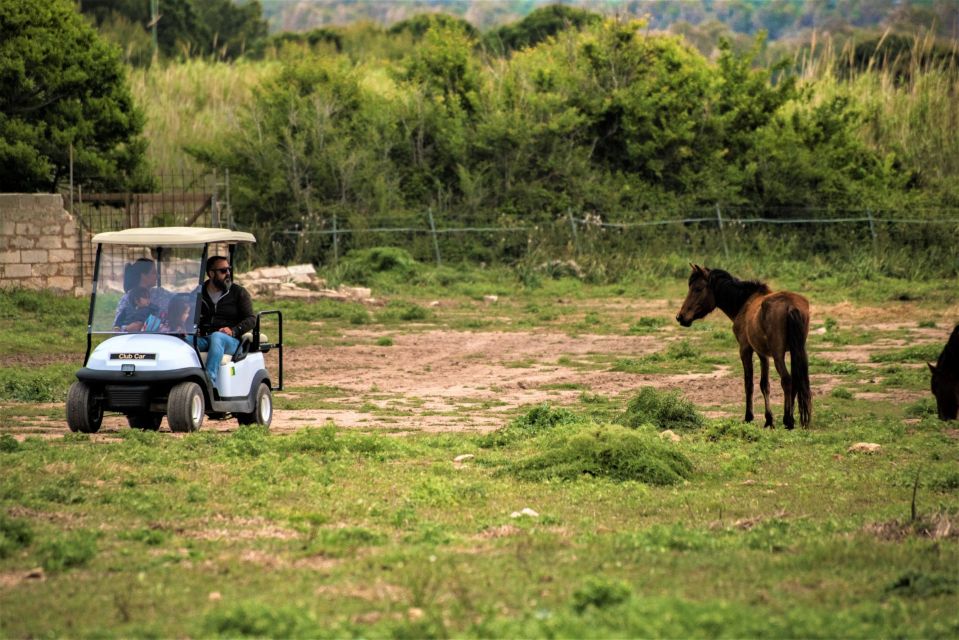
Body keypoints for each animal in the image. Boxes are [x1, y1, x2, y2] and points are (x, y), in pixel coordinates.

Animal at [676, 264, 808, 430]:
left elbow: (748, 383)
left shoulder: (745, 350)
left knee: (787, 380)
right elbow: (764, 385)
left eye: (698, 289)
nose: (680, 317)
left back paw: (788, 420)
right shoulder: (762, 354)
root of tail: (790, 306)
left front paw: (748, 417)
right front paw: (768, 420)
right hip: (798, 351)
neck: (744, 303)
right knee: (796, 380)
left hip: (779, 355)